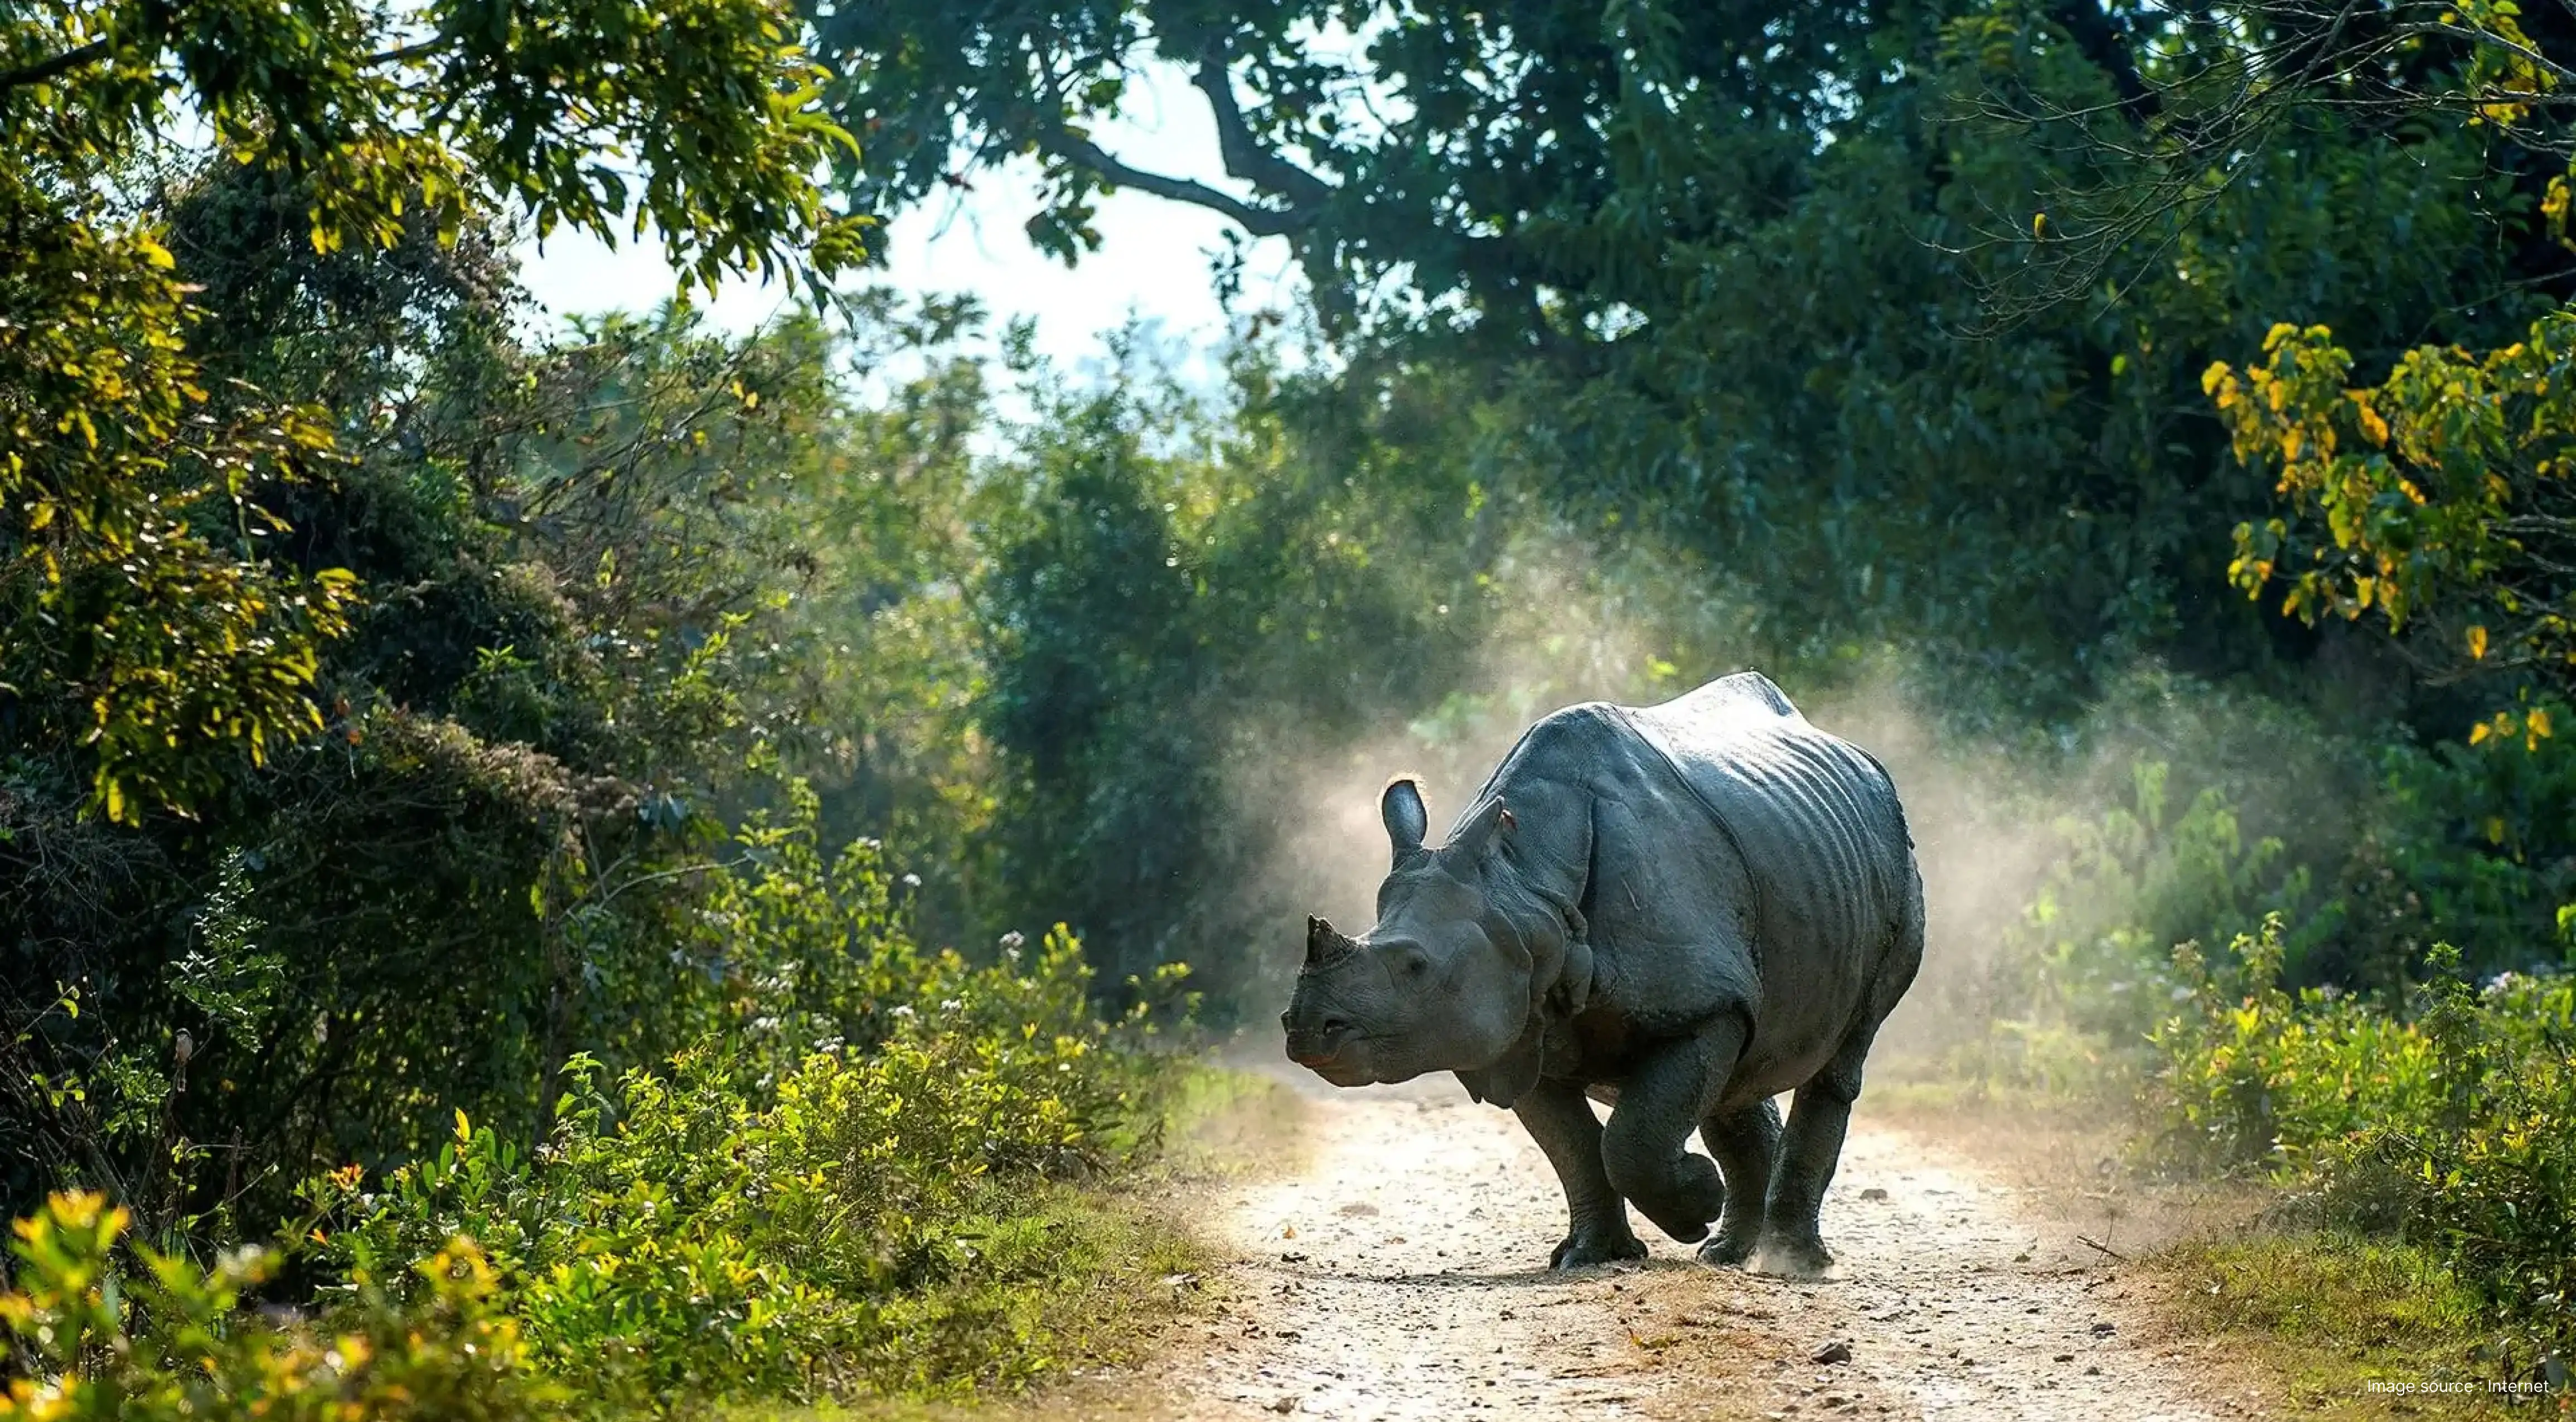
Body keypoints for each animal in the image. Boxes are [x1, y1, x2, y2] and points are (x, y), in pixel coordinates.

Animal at [1280, 672, 1923, 1274]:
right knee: (1741, 1063)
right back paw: (1727, 1252)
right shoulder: (1521, 1019)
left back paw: (1793, 1261)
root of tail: (1865, 763)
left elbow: (1630, 1140)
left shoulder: (1698, 1002)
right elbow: (1576, 1148)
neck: (1526, 890)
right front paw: (1594, 1255)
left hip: (1894, 861)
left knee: (1840, 1055)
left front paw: (1696, 1199)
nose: (1306, 1029)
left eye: (1416, 967)